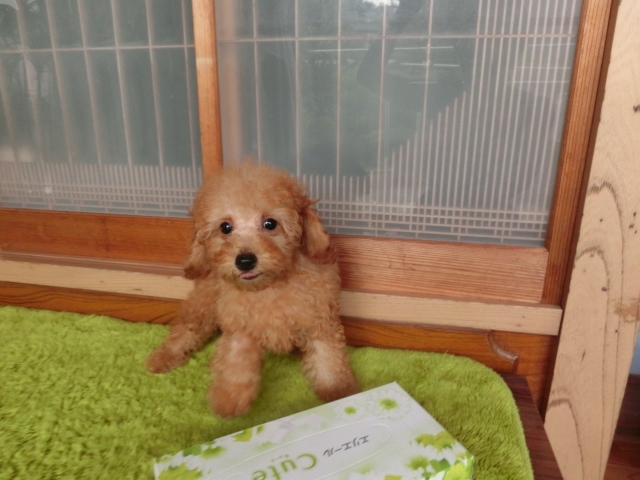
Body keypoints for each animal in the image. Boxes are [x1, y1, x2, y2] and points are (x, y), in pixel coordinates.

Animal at [147, 161, 359, 418]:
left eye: (270, 223)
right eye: (225, 227)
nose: (245, 260)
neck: (270, 285)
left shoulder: (318, 318)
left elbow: (328, 356)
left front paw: (338, 390)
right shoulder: (240, 324)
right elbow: (235, 360)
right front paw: (229, 398)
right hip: (204, 302)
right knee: (186, 328)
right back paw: (162, 357)